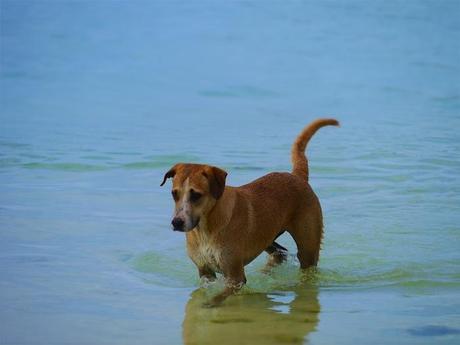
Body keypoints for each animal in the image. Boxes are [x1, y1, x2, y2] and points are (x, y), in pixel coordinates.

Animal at [162, 117, 338, 304]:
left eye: (196, 195)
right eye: (174, 193)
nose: (177, 222)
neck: (206, 228)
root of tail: (297, 176)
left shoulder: (235, 275)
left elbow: (220, 295)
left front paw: (209, 304)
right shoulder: (205, 271)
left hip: (308, 246)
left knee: (305, 262)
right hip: (267, 236)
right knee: (280, 253)